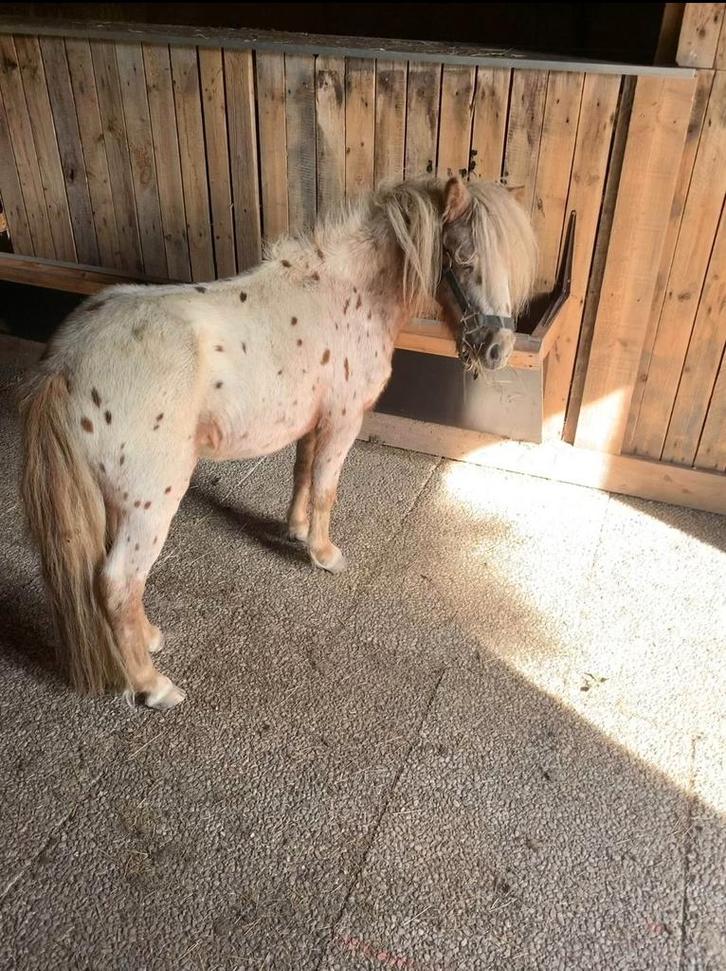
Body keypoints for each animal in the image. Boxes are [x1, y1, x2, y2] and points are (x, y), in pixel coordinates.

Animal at [20, 175, 537, 710]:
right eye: (463, 257)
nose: (498, 350)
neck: (348, 291)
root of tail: (64, 365)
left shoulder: (313, 422)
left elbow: (303, 474)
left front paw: (296, 530)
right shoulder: (343, 420)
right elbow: (327, 488)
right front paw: (324, 554)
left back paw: (149, 640)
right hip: (151, 502)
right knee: (119, 583)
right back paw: (153, 685)